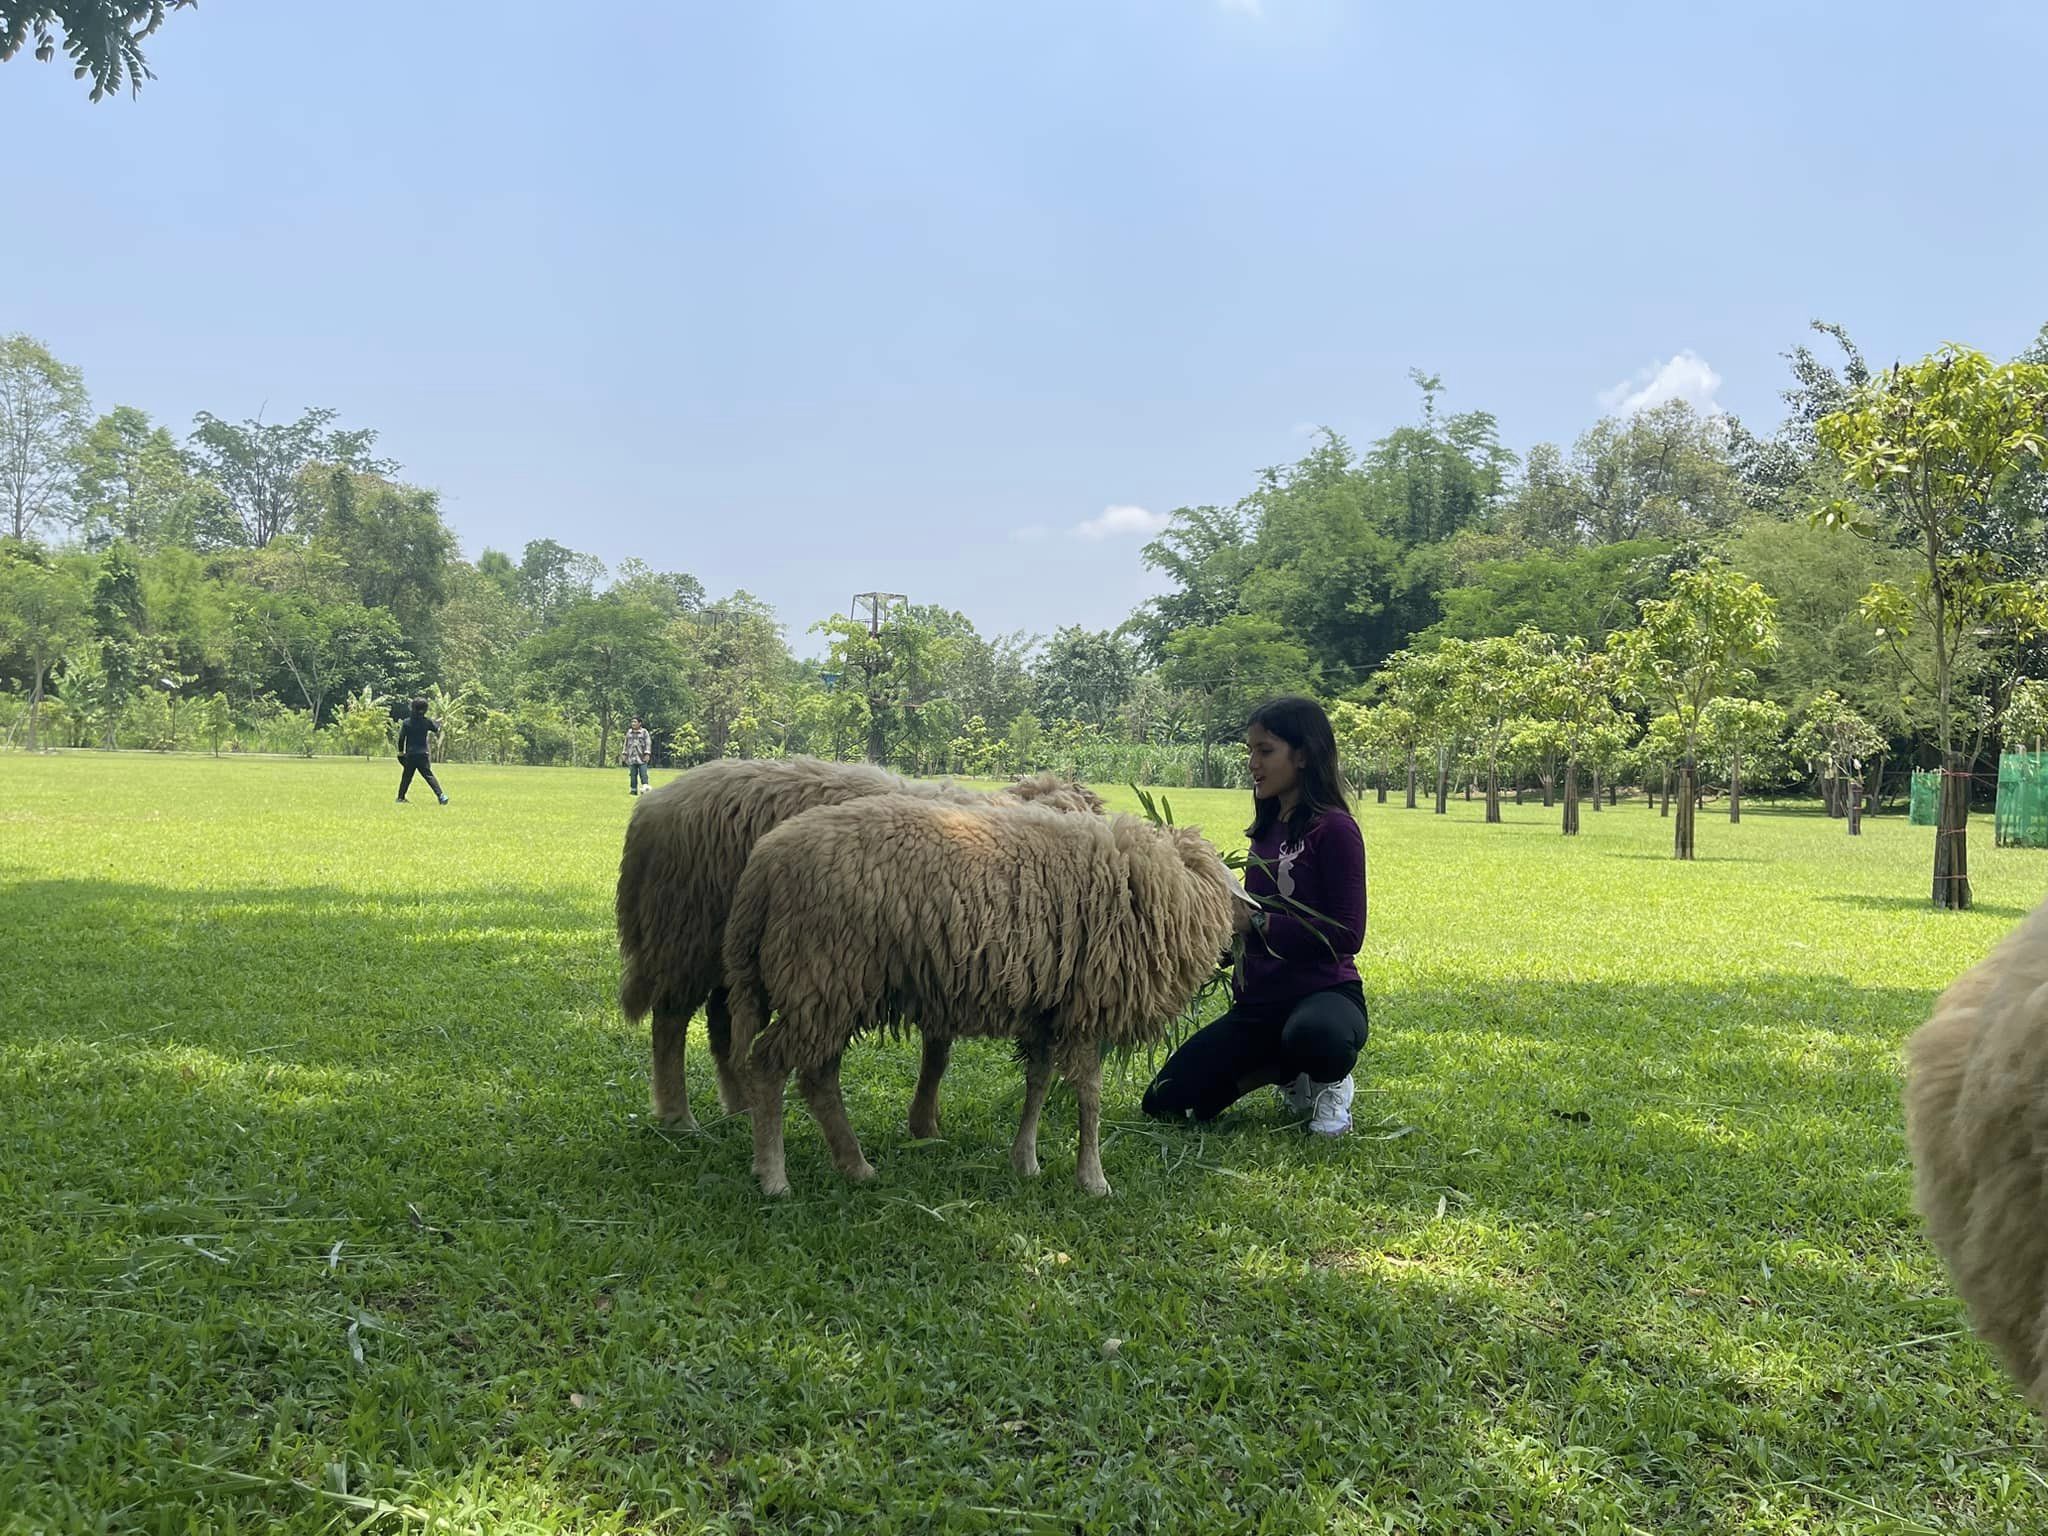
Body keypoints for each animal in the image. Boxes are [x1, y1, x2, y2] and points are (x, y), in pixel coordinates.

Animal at [614, 753, 1105, 1130]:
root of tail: (653, 807)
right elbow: (937, 1052)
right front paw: (924, 1124)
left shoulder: (943, 961)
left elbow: (938, 1052)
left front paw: (925, 1123)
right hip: (687, 934)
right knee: (671, 1021)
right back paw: (679, 1116)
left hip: (733, 949)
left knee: (722, 1023)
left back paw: (740, 1106)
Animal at [720, 794, 1236, 1204]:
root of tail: (762, 866)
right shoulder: (1084, 1008)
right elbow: (1089, 1095)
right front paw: (1093, 1178)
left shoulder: (1046, 1011)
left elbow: (1038, 1083)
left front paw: (1025, 1161)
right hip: (821, 976)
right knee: (769, 1065)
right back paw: (775, 1176)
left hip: (828, 990)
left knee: (818, 1077)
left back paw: (854, 1165)